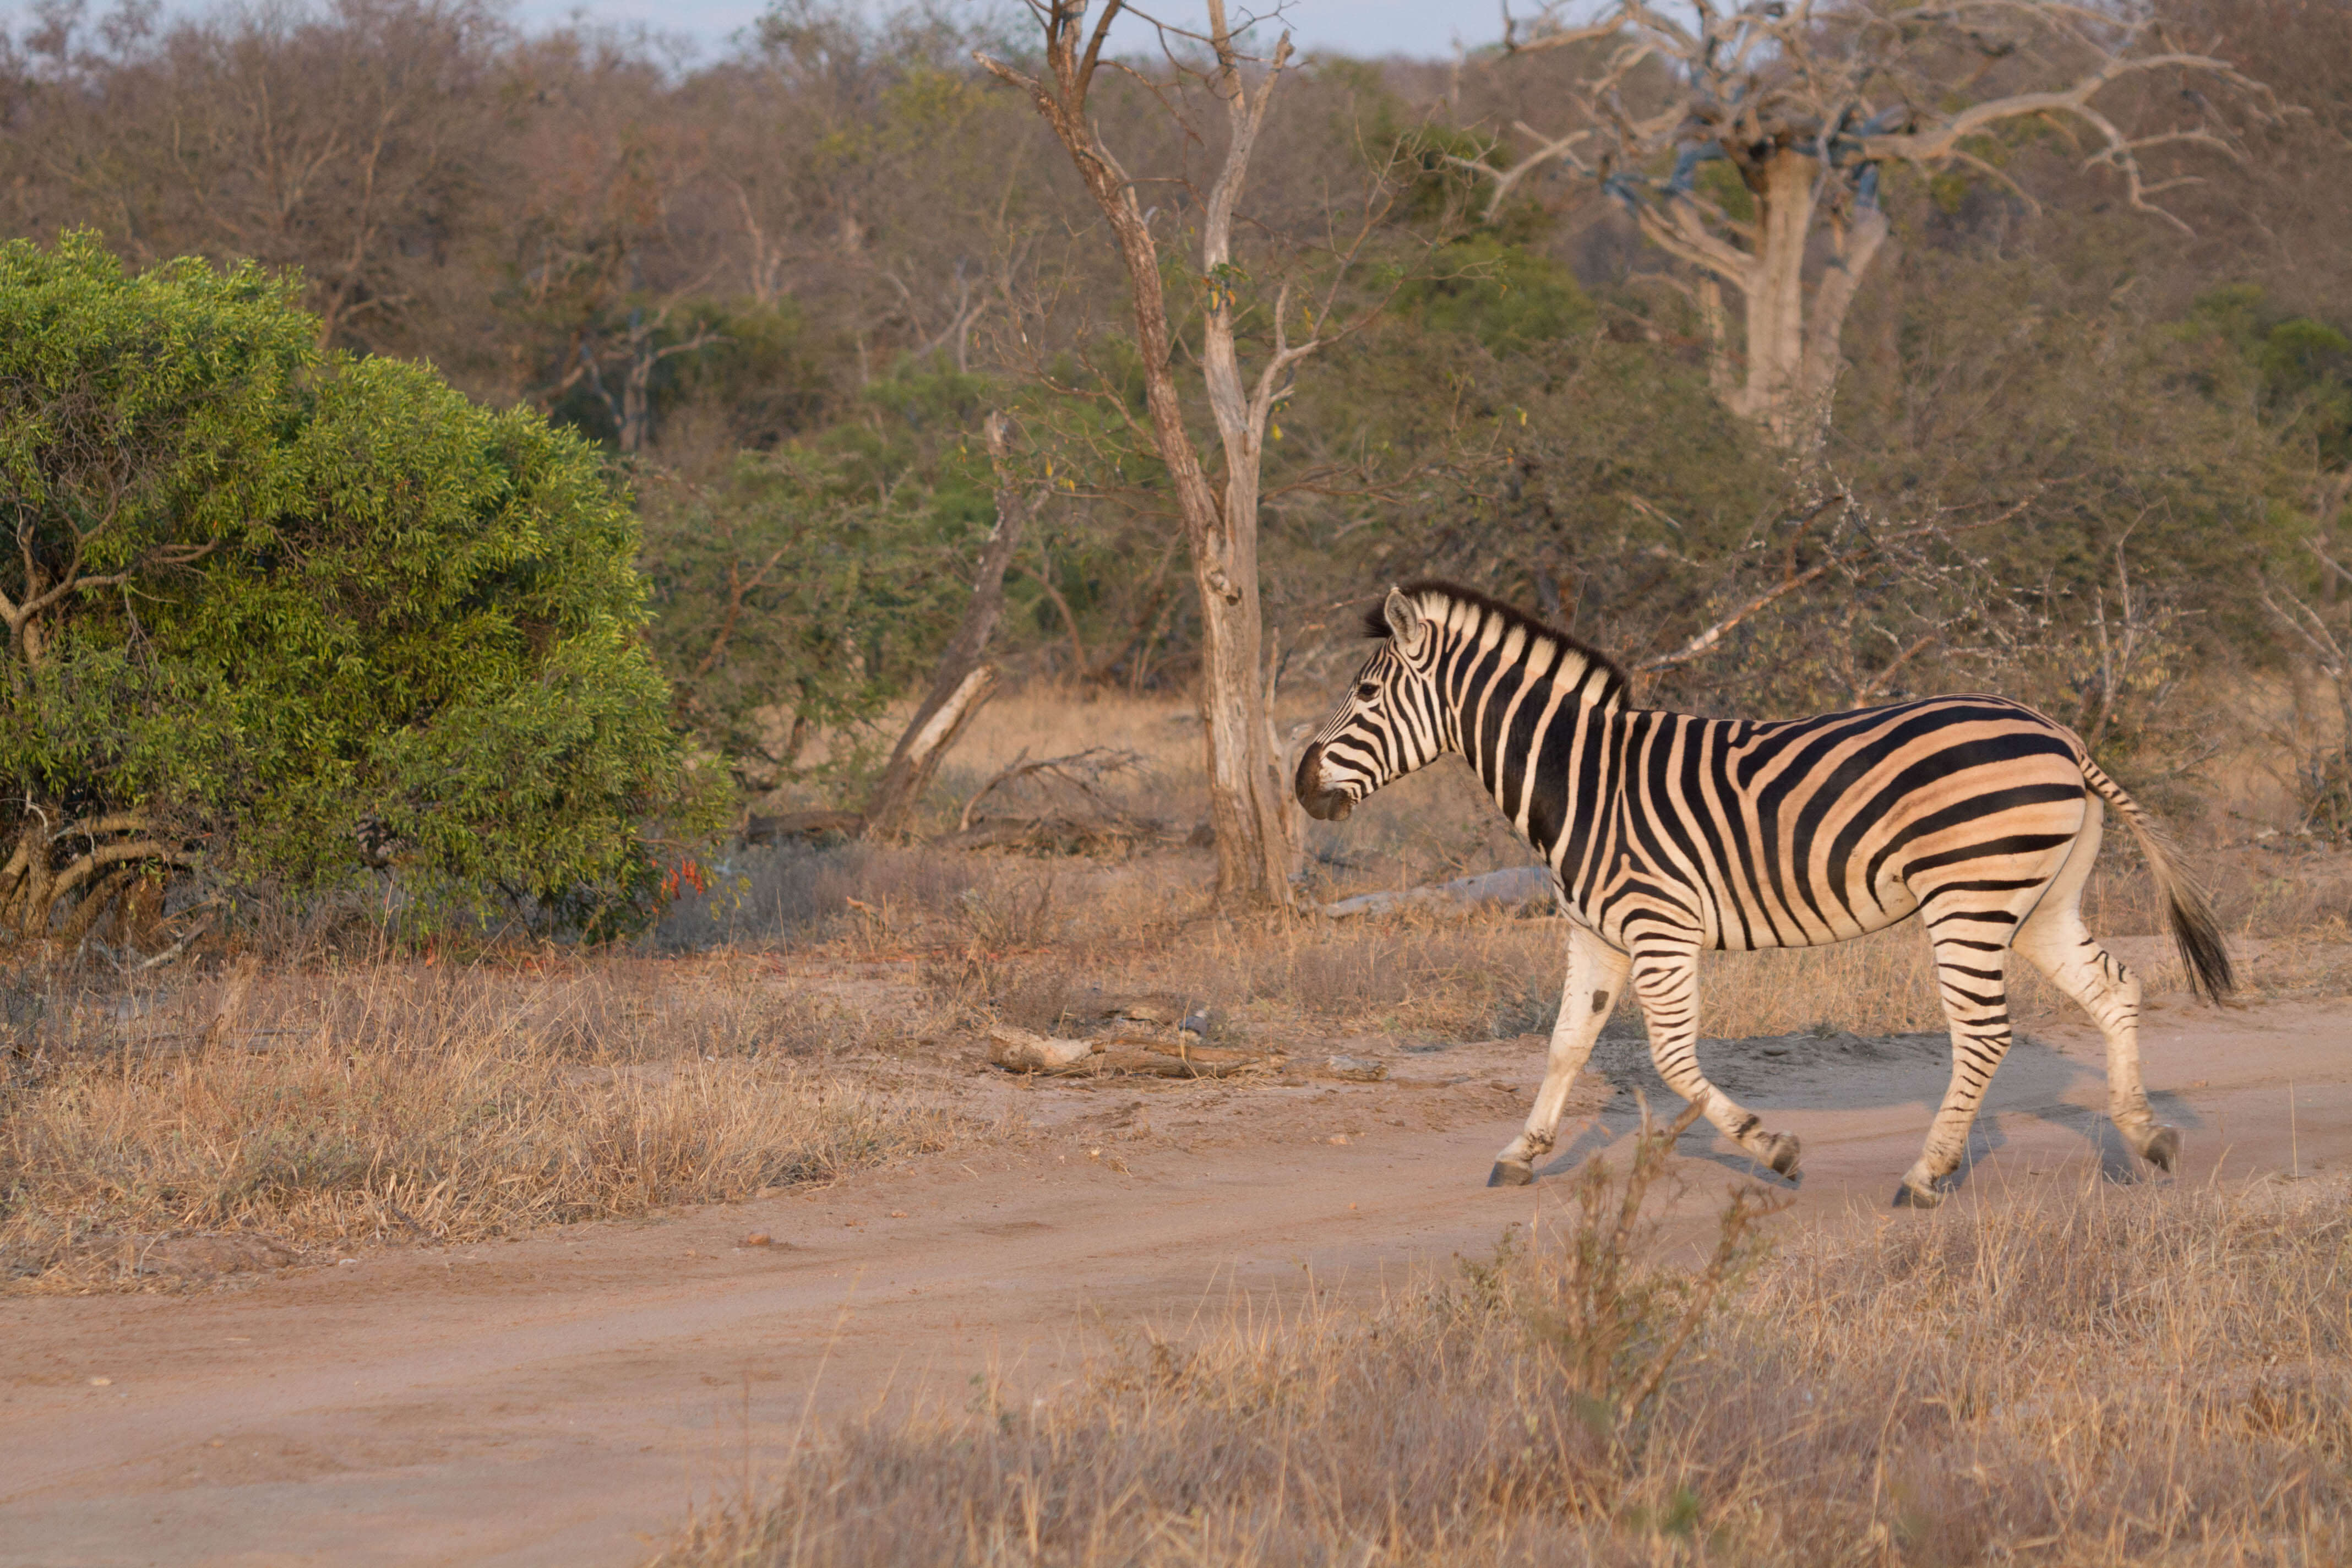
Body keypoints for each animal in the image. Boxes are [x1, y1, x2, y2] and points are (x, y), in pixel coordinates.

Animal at [1298, 582, 2229, 1213]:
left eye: (1367, 694)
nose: (1303, 786)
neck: (1583, 781)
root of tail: (2060, 732)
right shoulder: (1596, 934)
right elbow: (1565, 1047)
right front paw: (1521, 1154)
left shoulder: (1660, 926)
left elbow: (1673, 1058)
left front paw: (1773, 1148)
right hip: (2035, 902)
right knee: (2114, 989)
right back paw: (2146, 1138)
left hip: (1968, 895)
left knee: (1984, 1032)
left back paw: (1926, 1176)